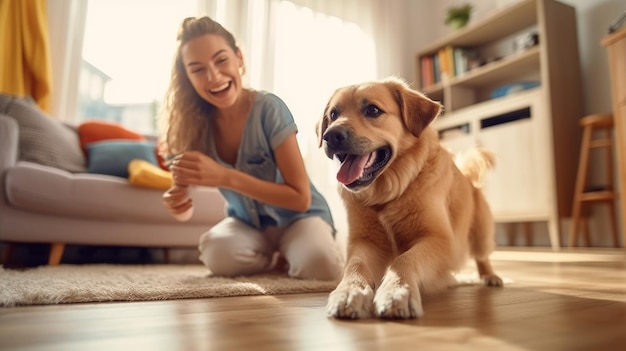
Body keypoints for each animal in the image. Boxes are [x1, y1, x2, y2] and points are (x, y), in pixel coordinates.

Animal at [316, 77, 502, 322]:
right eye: (334, 114)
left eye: (372, 110)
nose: (330, 135)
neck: (389, 194)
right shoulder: (364, 241)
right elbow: (355, 265)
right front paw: (348, 291)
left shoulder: (440, 240)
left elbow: (404, 259)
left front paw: (396, 292)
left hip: (481, 233)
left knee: (483, 257)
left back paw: (490, 276)